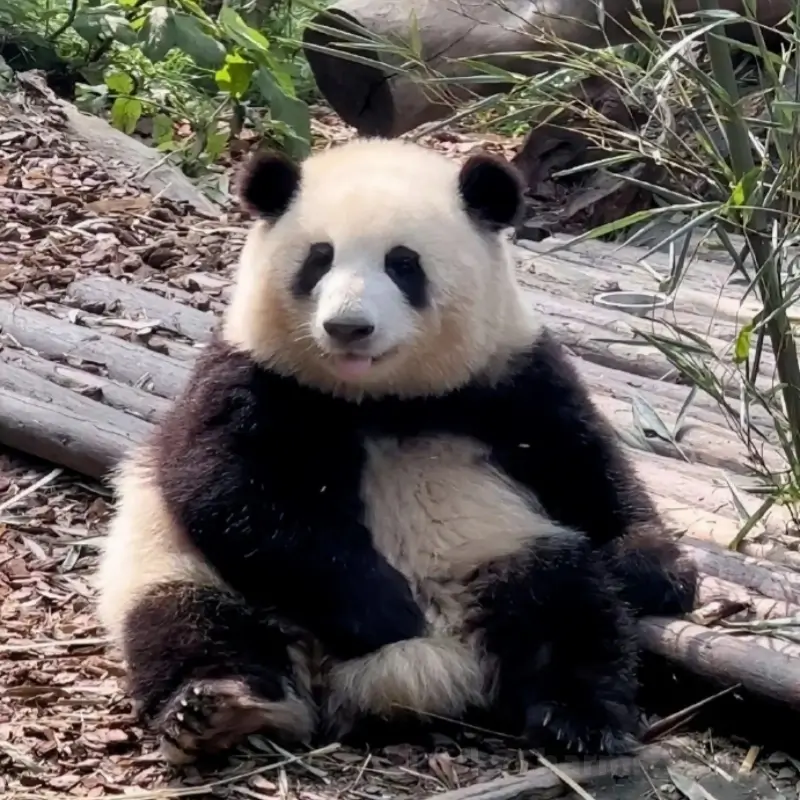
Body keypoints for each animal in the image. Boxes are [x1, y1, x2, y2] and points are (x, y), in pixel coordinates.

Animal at [95, 137, 697, 766]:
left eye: (403, 264)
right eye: (319, 259)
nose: (347, 327)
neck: (377, 398)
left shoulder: (508, 376)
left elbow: (582, 465)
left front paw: (657, 571)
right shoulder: (251, 376)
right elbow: (225, 489)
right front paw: (384, 610)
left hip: (498, 550)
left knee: (566, 604)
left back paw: (579, 718)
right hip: (185, 565)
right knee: (186, 620)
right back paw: (216, 706)